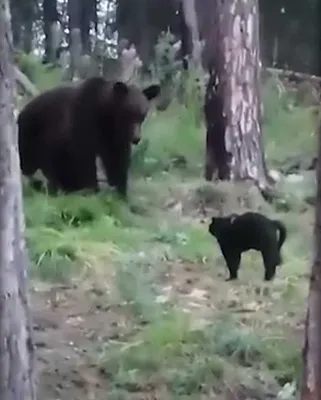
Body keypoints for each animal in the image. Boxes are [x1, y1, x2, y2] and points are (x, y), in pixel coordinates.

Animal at [18, 76, 160, 197]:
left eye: (142, 115)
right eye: (129, 113)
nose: (136, 138)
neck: (107, 115)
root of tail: (21, 112)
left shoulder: (113, 137)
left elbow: (117, 160)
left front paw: (120, 192)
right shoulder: (84, 122)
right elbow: (85, 159)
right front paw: (92, 190)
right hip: (33, 134)